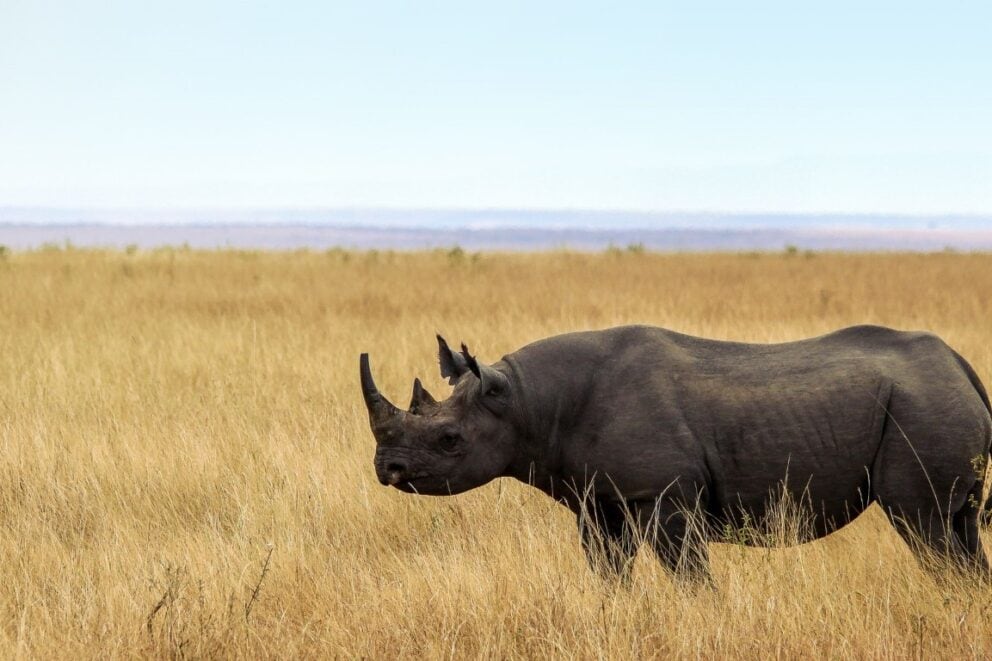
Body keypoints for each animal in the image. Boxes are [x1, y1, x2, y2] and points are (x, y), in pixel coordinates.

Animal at [360, 325, 992, 585]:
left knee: (924, 526)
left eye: (450, 440)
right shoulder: (600, 500)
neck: (525, 400)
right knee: (958, 530)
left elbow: (689, 575)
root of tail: (962, 367)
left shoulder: (663, 496)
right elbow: (607, 570)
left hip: (921, 406)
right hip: (929, 400)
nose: (387, 470)